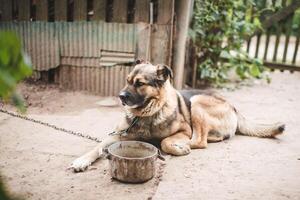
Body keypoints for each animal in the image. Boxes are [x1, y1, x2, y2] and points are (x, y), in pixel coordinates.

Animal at [69, 59, 284, 172]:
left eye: (139, 83)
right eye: (127, 80)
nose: (120, 96)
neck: (147, 114)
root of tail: (233, 107)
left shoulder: (184, 129)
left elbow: (165, 141)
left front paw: (172, 145)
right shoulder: (116, 135)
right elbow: (96, 147)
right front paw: (82, 160)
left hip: (197, 101)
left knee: (199, 140)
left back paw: (182, 146)